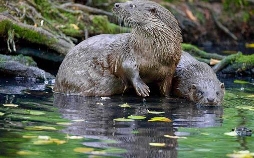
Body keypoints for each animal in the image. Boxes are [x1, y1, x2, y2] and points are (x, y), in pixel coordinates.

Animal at [53, 0, 182, 97]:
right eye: (129, 1)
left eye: (132, 5)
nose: (116, 4)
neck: (152, 55)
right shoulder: (127, 52)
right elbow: (127, 67)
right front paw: (141, 87)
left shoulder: (170, 70)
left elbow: (165, 89)